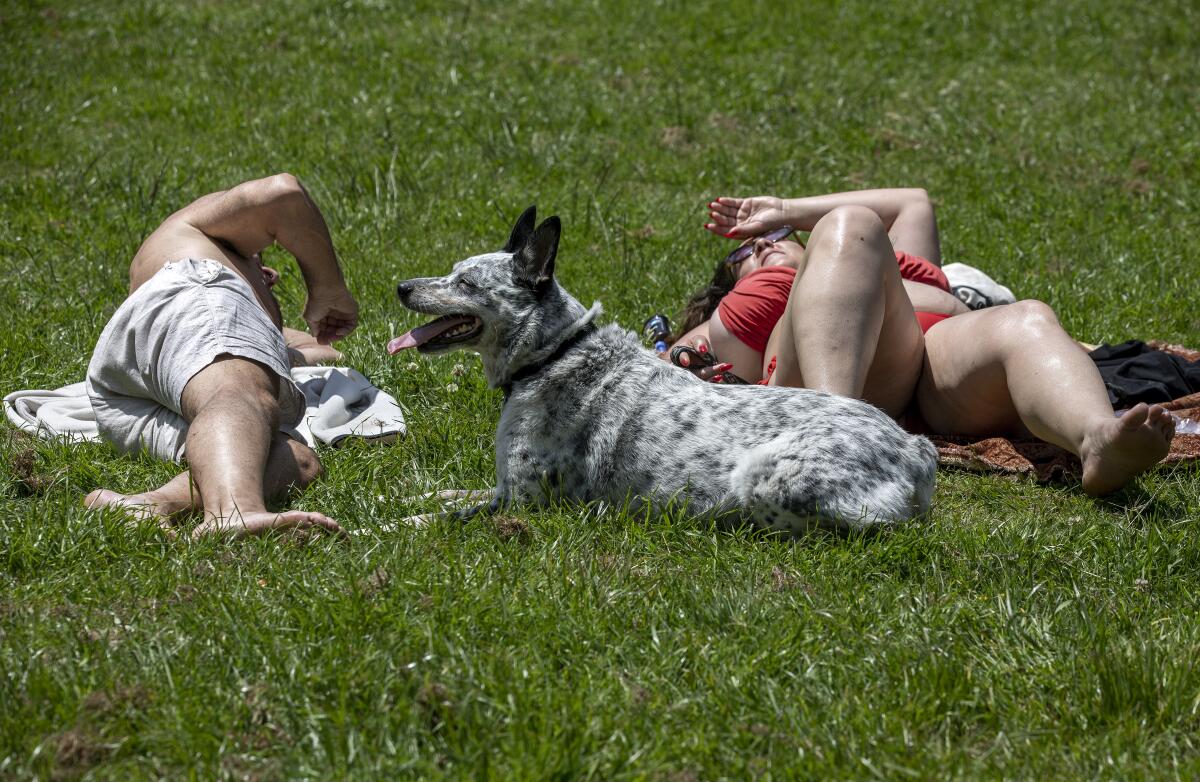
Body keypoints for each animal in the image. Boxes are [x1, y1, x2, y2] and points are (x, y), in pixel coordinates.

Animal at [388, 207, 940, 534]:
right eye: (453, 272)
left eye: (466, 283)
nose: (401, 287)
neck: (553, 353)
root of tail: (916, 448)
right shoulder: (501, 491)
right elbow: (442, 491)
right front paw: (396, 494)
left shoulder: (521, 504)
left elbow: (432, 518)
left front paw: (385, 526)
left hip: (766, 480)